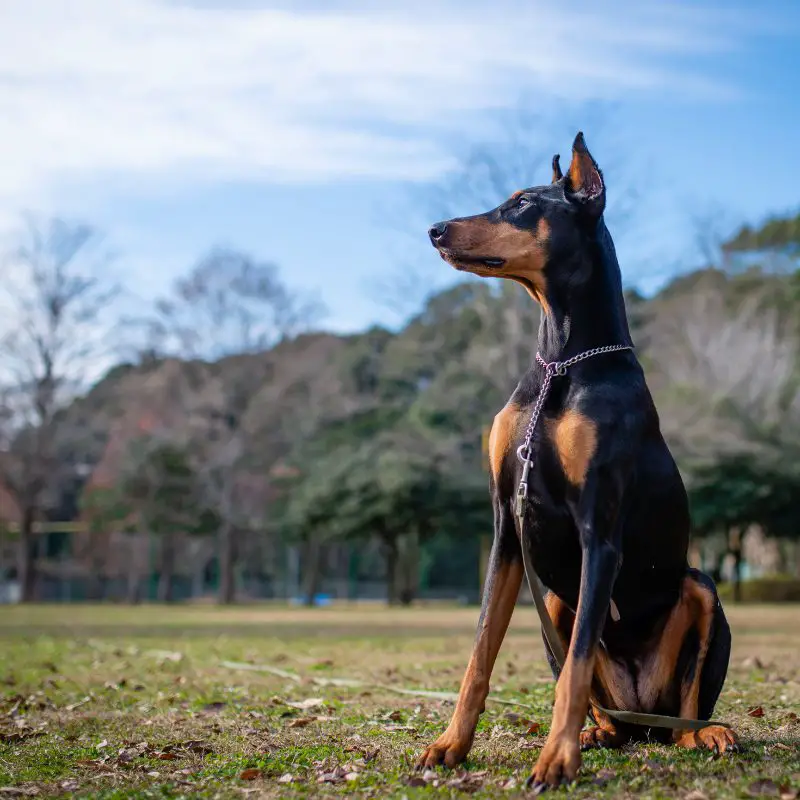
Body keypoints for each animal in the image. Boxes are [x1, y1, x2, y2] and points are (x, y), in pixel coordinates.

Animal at [422, 134, 736, 792]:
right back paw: (600, 733)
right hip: (557, 605)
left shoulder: (600, 531)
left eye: (521, 204)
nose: (435, 229)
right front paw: (451, 744)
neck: (562, 363)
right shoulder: (505, 526)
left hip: (700, 588)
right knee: (611, 714)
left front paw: (555, 758)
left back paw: (706, 733)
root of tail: (643, 714)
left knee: (686, 708)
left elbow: (575, 666)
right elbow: (480, 652)